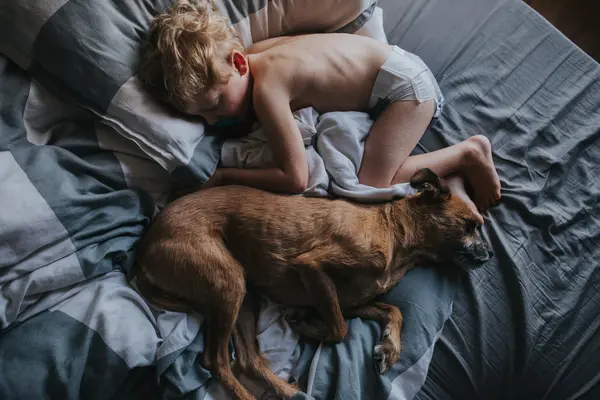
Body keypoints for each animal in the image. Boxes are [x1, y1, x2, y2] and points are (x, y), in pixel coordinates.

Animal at [135, 169, 492, 400]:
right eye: (472, 225)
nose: (488, 254)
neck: (396, 235)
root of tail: (146, 248)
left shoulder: (350, 300)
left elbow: (394, 310)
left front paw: (389, 348)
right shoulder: (312, 267)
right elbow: (340, 329)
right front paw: (309, 326)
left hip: (244, 295)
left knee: (247, 360)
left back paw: (285, 390)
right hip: (228, 281)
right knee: (218, 362)